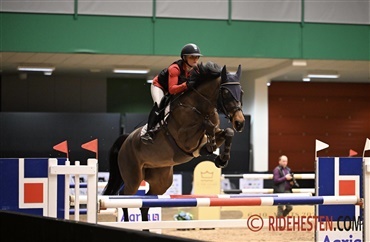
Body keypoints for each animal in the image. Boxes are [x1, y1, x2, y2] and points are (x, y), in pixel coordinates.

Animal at [102, 62, 246, 223]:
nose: (240, 122)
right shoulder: (185, 138)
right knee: (124, 197)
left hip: (161, 179)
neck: (200, 108)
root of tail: (126, 139)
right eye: (226, 92)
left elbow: (228, 132)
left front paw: (221, 159)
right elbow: (205, 126)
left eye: (241, 92)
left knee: (145, 203)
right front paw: (212, 146)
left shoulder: (214, 133)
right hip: (133, 176)